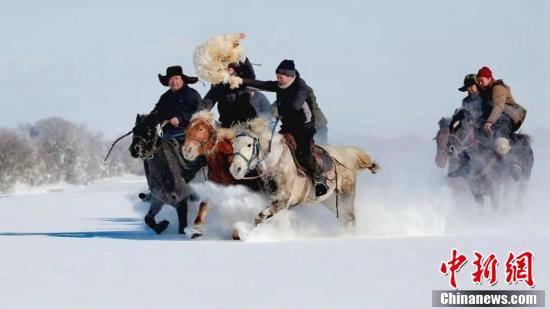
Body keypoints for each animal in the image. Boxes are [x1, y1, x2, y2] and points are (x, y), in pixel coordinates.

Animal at [229, 117, 380, 231]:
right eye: (234, 145)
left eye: (249, 145)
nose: (235, 169)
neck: (276, 163)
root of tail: (347, 153)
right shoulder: (276, 202)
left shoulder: (282, 202)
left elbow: (259, 218)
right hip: (330, 199)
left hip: (346, 194)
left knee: (350, 219)